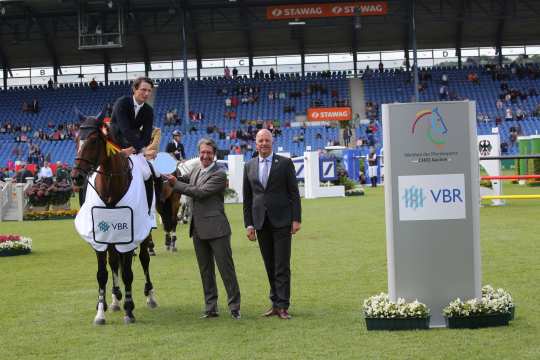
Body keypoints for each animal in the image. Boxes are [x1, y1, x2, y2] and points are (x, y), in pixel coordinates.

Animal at [71, 116, 157, 326]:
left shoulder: (130, 233)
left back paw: (149, 295)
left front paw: (129, 310)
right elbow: (102, 273)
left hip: (144, 230)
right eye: (76, 139)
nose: (76, 177)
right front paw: (100, 312)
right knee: (114, 261)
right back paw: (115, 298)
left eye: (94, 141)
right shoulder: (100, 237)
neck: (110, 187)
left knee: (144, 259)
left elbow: (128, 272)